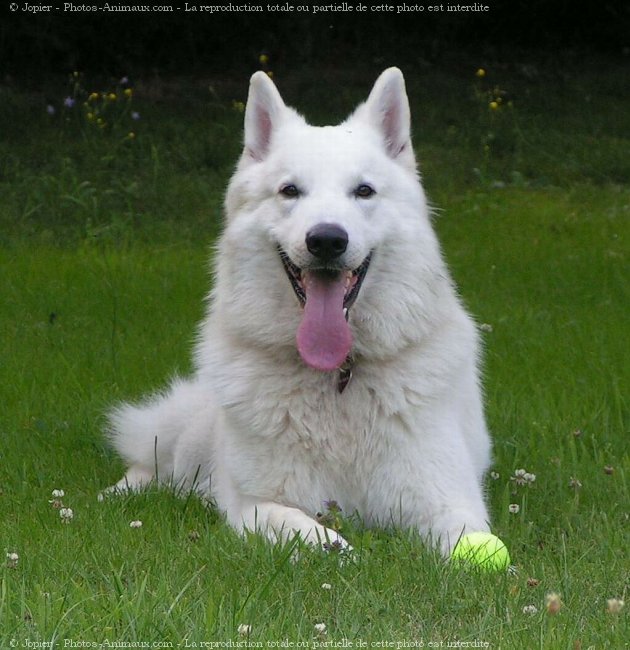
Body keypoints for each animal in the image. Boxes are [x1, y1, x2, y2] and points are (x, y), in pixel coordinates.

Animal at [107, 66, 494, 556]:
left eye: (363, 191)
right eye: (290, 190)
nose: (327, 240)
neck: (337, 378)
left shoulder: (448, 498)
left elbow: (469, 540)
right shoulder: (253, 504)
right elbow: (306, 529)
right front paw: (340, 551)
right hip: (187, 440)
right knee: (154, 463)